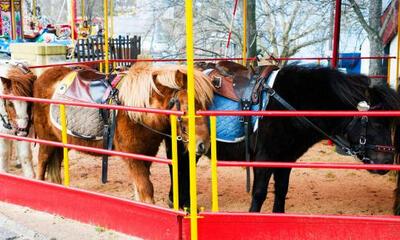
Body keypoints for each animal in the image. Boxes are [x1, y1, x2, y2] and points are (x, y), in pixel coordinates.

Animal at [34, 62, 214, 204]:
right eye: (186, 107)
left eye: (207, 104)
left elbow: (139, 190)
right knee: (42, 163)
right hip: (46, 138)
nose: (203, 145)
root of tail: (43, 76)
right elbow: (146, 190)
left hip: (60, 141)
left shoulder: (146, 154)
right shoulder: (133, 157)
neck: (137, 110)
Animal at [166, 62, 400, 214]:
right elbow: (259, 193)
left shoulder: (285, 160)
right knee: (178, 168)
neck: (290, 105)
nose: (387, 161)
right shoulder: (264, 159)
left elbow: (281, 192)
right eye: (377, 122)